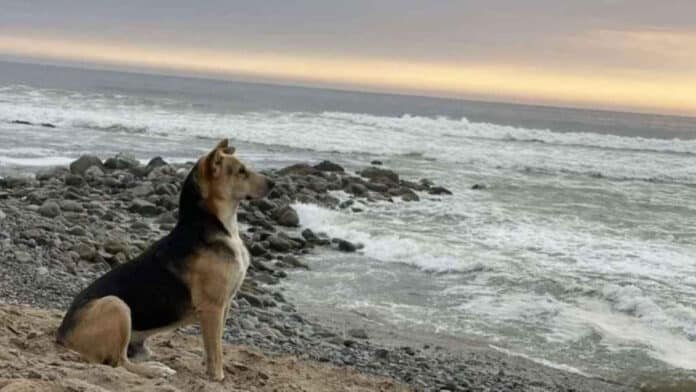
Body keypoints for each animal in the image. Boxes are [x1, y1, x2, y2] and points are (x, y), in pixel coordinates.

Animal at [55, 139, 274, 380]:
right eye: (241, 171)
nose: (273, 183)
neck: (214, 225)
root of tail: (62, 334)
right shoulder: (213, 307)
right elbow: (215, 349)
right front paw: (217, 376)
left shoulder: (224, 305)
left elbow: (213, 345)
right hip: (116, 305)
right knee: (119, 363)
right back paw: (155, 370)